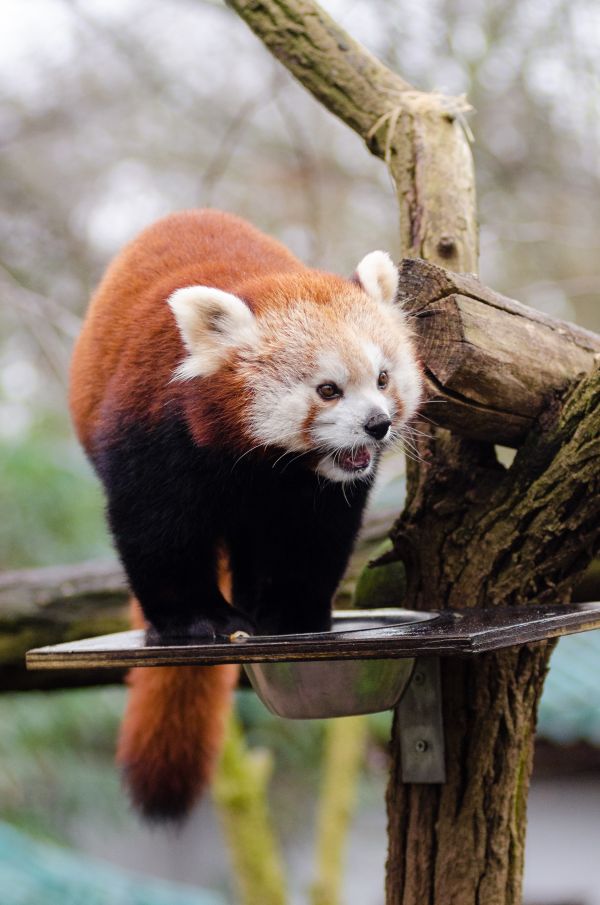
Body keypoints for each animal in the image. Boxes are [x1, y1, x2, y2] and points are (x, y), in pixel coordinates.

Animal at [69, 210, 422, 820]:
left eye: (382, 378)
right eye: (328, 390)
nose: (378, 425)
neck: (262, 462)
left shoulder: (316, 490)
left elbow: (313, 539)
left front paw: (290, 615)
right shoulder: (155, 433)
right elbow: (157, 531)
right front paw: (199, 620)